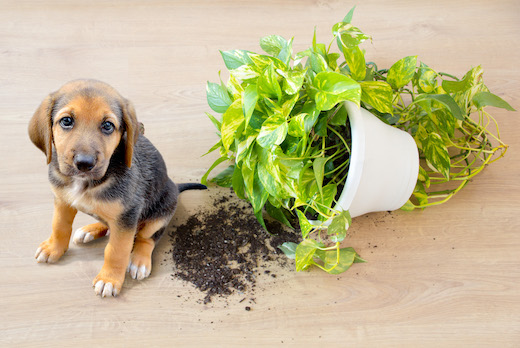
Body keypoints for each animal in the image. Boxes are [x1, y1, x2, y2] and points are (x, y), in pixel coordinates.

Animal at [29, 79, 205, 296]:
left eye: (107, 126)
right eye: (66, 121)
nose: (84, 164)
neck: (86, 183)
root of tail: (174, 185)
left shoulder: (127, 216)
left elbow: (116, 250)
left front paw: (109, 279)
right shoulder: (63, 201)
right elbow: (59, 226)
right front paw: (53, 248)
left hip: (161, 212)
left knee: (147, 238)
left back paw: (139, 260)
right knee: (107, 223)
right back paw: (90, 230)